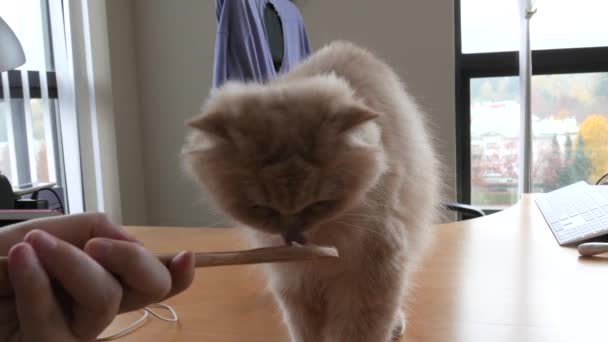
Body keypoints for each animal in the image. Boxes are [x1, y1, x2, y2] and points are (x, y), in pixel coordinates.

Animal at [183, 41, 440, 340]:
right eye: (262, 209)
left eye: (318, 204)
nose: (293, 236)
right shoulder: (296, 283)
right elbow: (306, 331)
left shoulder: (371, 276)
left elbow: (359, 330)